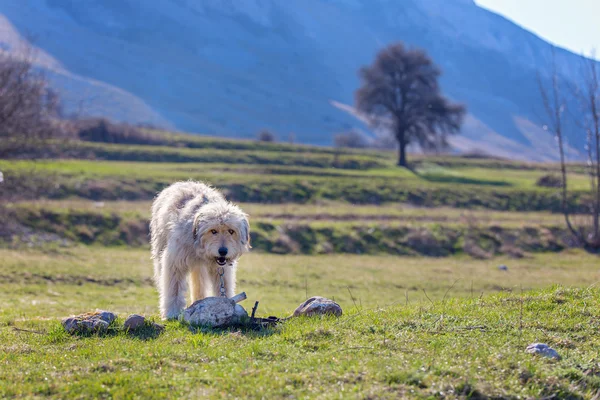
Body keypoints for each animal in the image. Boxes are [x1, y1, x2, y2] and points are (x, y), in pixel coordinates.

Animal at [152, 181, 253, 318]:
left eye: (231, 231)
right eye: (213, 231)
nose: (223, 251)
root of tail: (185, 182)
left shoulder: (221, 269)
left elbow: (224, 286)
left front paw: (228, 306)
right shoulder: (175, 262)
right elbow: (174, 288)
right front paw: (172, 312)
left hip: (198, 267)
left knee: (199, 282)